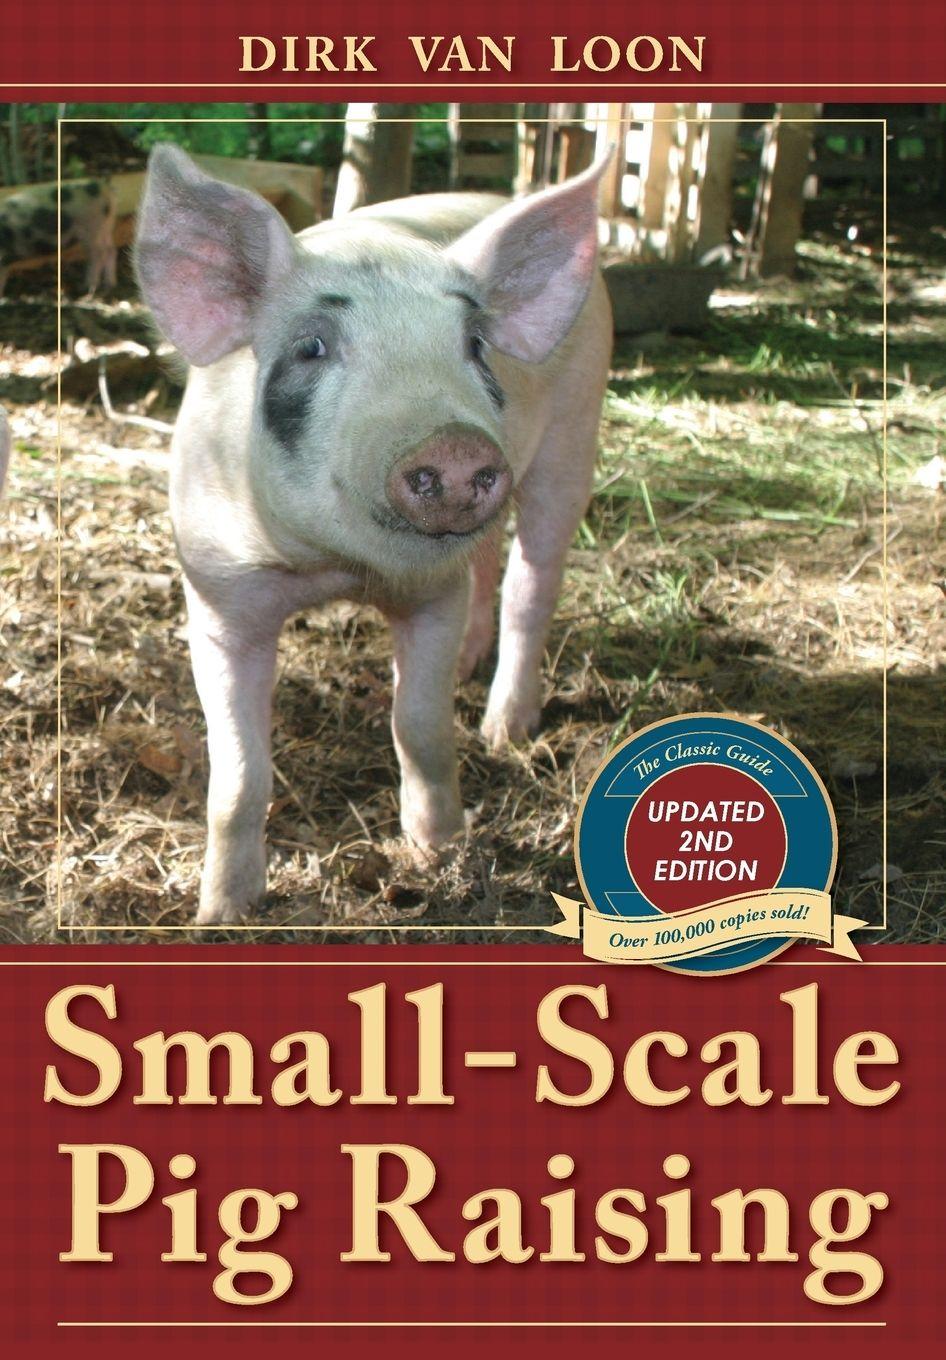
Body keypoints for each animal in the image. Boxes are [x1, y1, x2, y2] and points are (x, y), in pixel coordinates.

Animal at [135, 144, 613, 925]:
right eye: (313, 347)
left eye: (474, 345)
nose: (455, 444)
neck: (334, 569)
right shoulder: (216, 595)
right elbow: (238, 775)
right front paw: (222, 915)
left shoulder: (432, 593)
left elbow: (419, 728)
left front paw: (441, 854)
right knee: (488, 561)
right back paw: (469, 671)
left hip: (576, 431)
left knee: (532, 579)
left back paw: (504, 729)